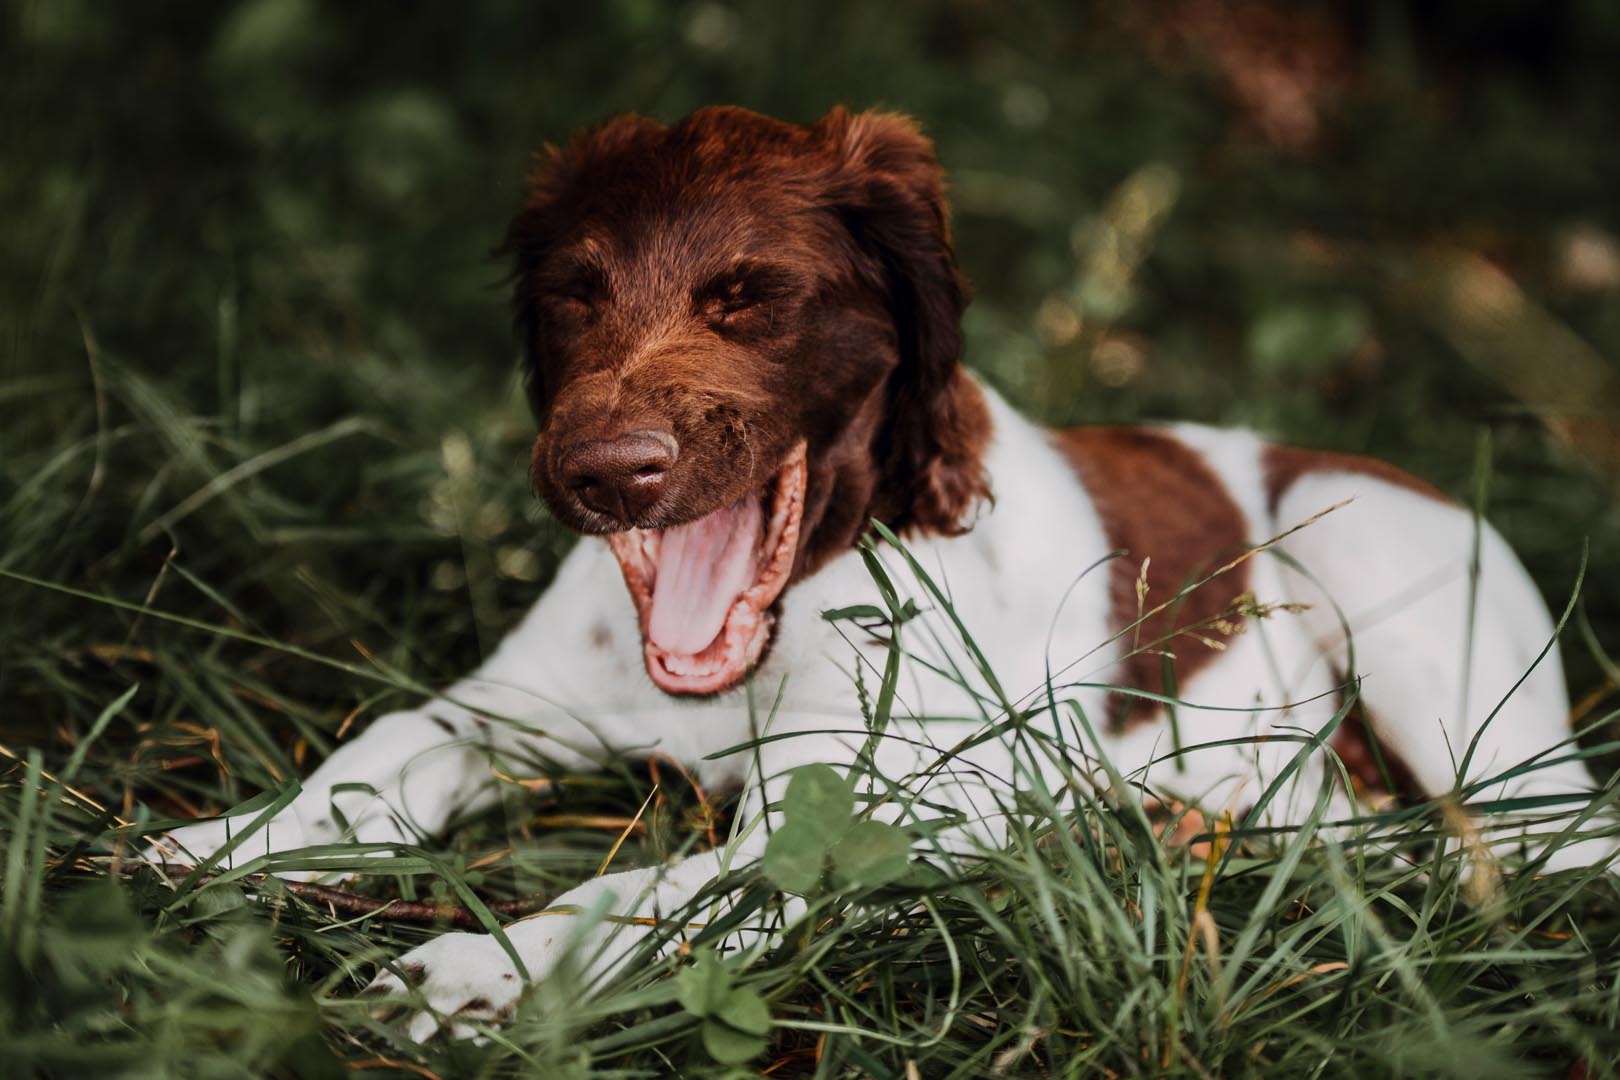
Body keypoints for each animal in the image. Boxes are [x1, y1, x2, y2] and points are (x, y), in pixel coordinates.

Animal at [145, 107, 1613, 1036]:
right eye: (574, 295)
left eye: (751, 297)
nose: (601, 474)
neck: (786, 618)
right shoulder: (512, 702)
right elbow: (384, 751)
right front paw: (226, 842)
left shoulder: (845, 811)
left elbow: (655, 886)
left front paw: (478, 971)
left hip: (1380, 578)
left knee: (1549, 843)